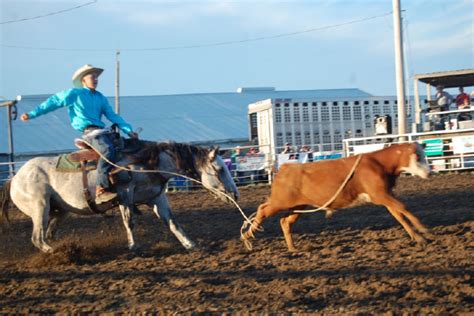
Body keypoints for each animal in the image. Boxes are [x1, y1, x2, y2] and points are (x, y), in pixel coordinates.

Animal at [0, 140, 237, 252]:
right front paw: (133, 246)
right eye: (219, 170)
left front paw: (190, 244)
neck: (147, 162)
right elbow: (129, 221)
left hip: (59, 210)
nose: (235, 193)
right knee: (37, 238)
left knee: (47, 234)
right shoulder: (125, 194)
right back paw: (54, 251)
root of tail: (14, 178)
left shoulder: (157, 197)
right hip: (40, 207)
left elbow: (173, 223)